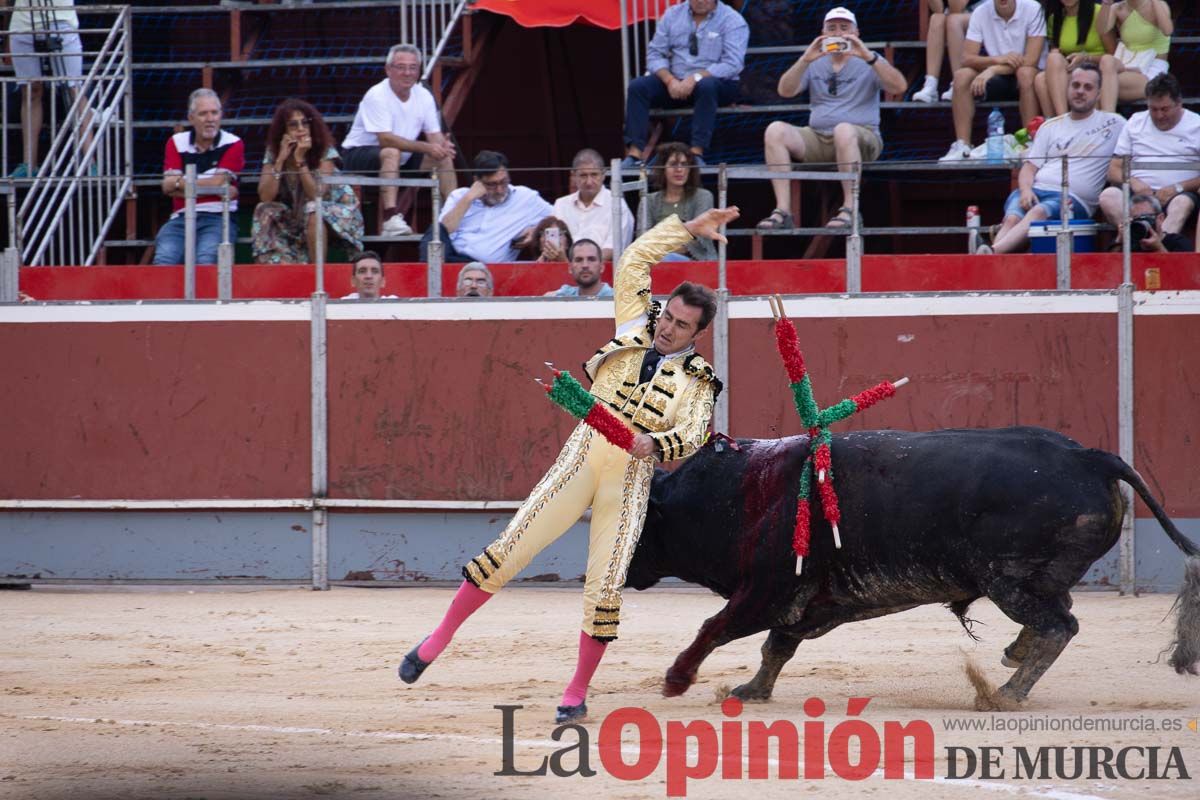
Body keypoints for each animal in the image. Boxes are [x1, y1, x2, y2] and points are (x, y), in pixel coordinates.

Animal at [628, 429, 1200, 705]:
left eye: (638, 528)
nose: (620, 574)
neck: (734, 495)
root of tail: (1090, 457)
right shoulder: (809, 604)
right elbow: (777, 647)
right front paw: (752, 691)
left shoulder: (768, 590)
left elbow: (716, 627)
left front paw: (677, 680)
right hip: (1031, 578)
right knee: (1057, 614)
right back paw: (1014, 657)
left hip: (1007, 579)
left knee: (1060, 624)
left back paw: (1006, 695)